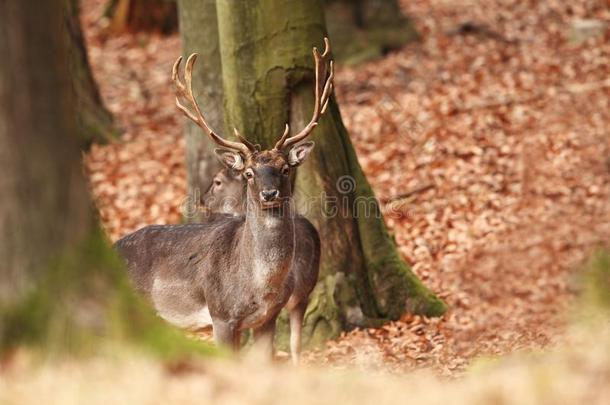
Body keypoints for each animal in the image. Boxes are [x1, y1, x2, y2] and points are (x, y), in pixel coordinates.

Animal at [114, 37, 332, 360]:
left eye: (284, 168)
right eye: (249, 173)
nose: (269, 193)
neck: (257, 285)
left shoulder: (266, 318)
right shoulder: (221, 314)